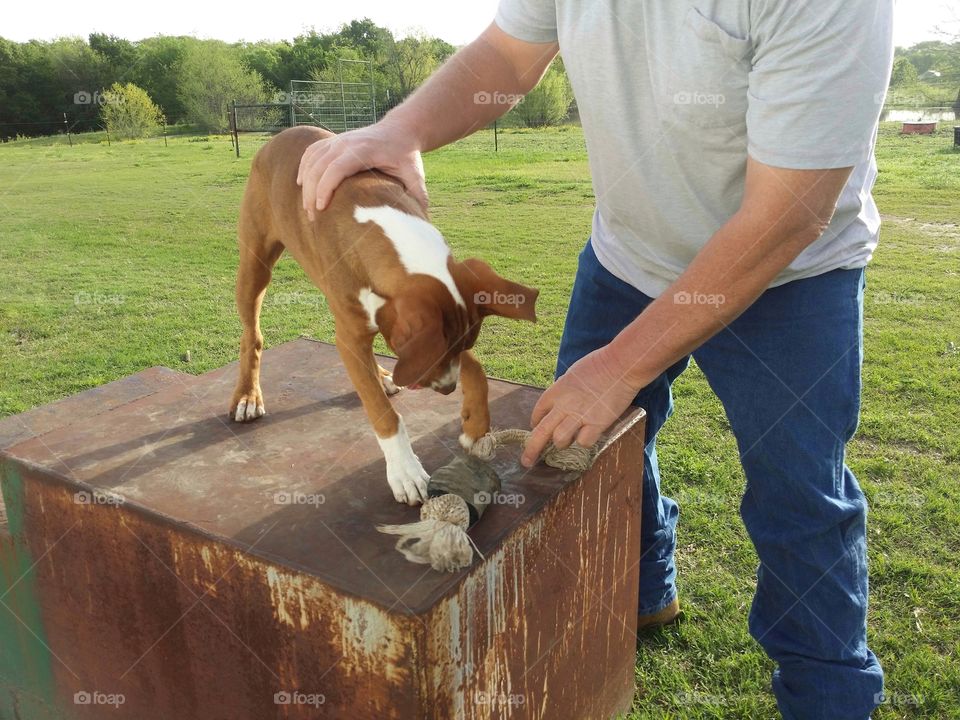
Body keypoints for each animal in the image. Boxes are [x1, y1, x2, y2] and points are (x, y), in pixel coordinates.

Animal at [229, 125, 536, 506]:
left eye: (463, 347)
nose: (449, 389)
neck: (394, 236)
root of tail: (280, 135)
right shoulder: (354, 334)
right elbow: (381, 411)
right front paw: (405, 471)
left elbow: (477, 370)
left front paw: (475, 426)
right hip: (254, 266)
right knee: (251, 334)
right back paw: (247, 395)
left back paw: (382, 375)